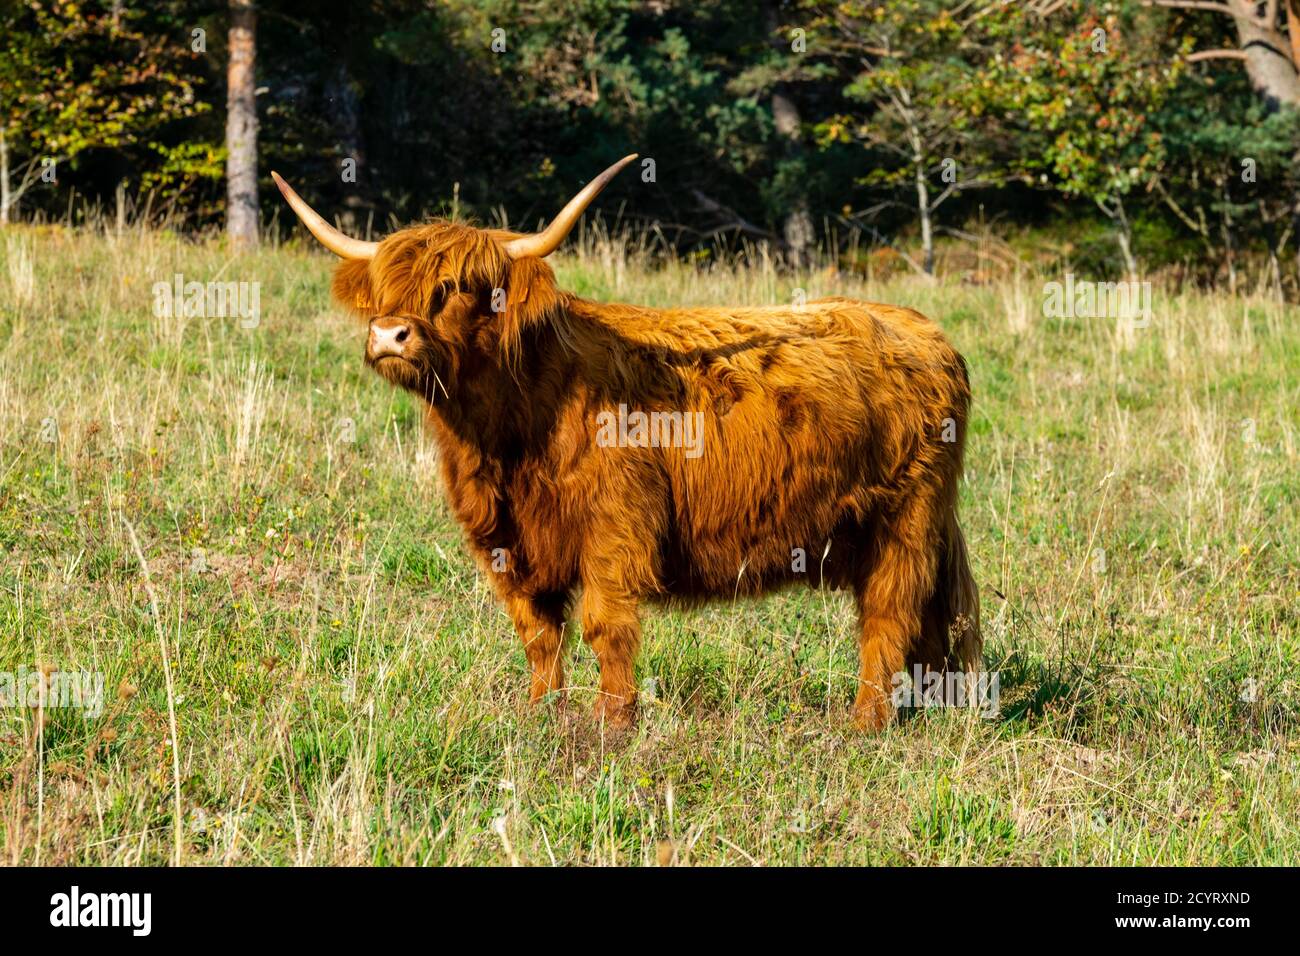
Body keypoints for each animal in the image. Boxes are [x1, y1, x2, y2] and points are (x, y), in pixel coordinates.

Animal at [272, 155, 981, 731]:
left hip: (905, 521)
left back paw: (864, 726)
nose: (389, 335)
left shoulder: (614, 526)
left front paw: (613, 725)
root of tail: (923, 331)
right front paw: (541, 712)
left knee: (888, 615)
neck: (504, 433)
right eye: (386, 291)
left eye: (458, 289)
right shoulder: (504, 539)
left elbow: (604, 627)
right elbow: (538, 632)